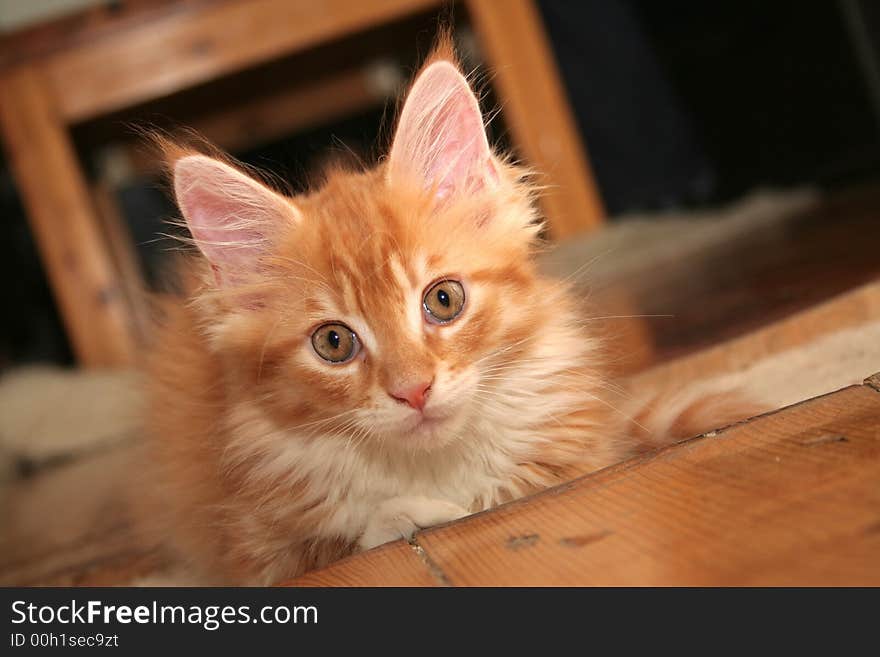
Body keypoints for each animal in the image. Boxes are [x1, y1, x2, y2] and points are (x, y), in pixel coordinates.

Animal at [144, 39, 748, 584]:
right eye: (334, 343)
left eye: (443, 300)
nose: (413, 391)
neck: (438, 468)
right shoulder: (252, 545)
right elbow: (344, 542)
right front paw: (411, 516)